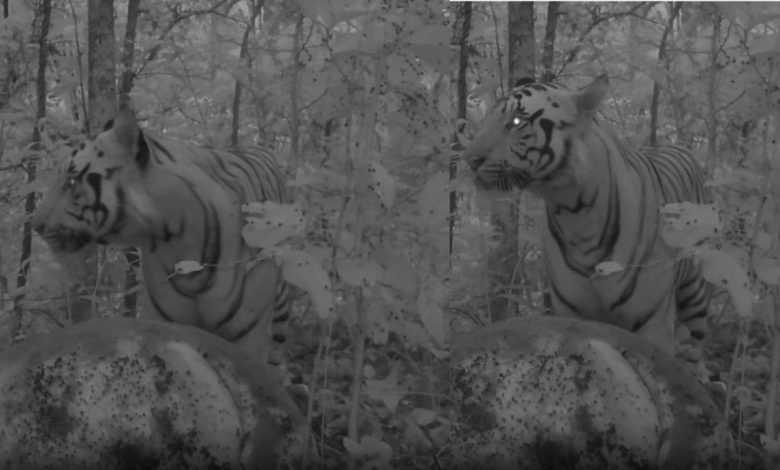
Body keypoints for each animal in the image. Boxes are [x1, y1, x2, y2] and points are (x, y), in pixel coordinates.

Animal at [462, 75, 711, 358]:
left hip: (695, 292)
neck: (574, 213)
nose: (469, 159)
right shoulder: (574, 317)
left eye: (515, 121)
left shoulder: (653, 323)